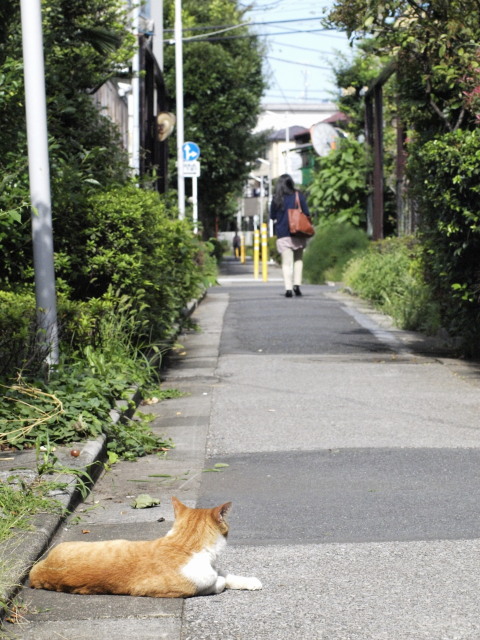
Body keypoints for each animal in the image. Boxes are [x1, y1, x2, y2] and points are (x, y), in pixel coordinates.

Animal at [29, 498, 262, 596]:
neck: (184, 545)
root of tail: (36, 572)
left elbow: (228, 576)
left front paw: (250, 582)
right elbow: (218, 583)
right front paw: (221, 582)